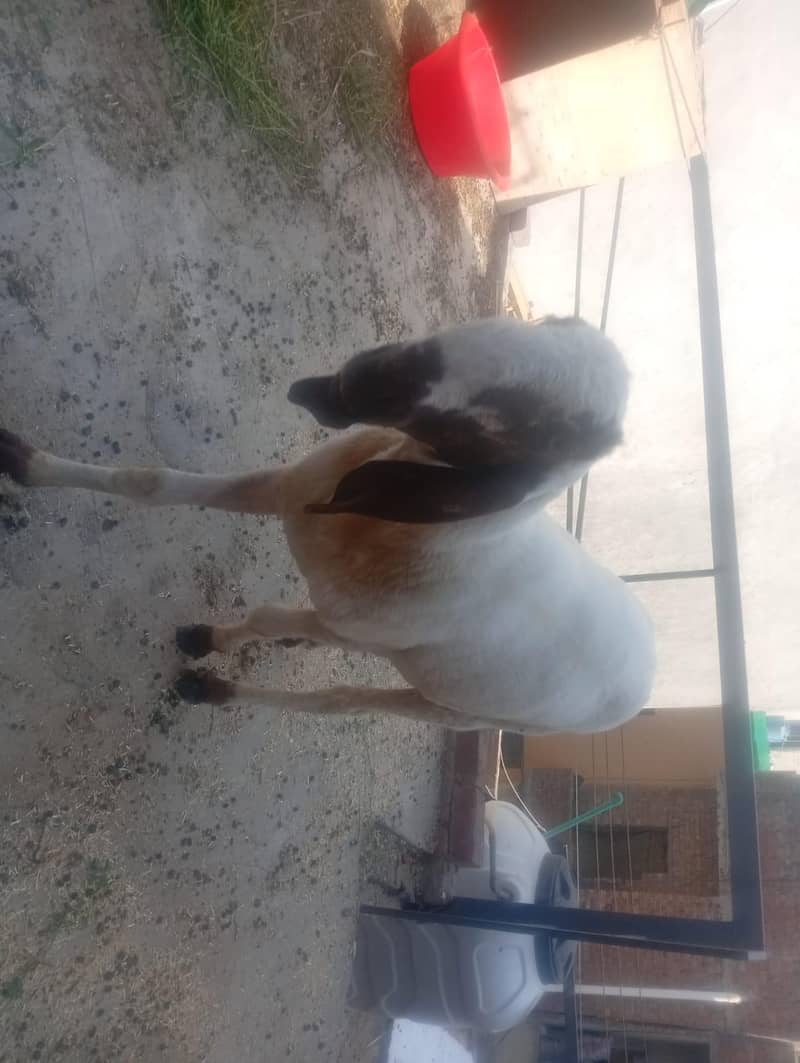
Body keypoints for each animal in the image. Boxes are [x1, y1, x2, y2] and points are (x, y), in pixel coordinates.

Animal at [0, 316, 655, 734]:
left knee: (338, 700)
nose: (365, 376)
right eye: (547, 323)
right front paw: (23, 461)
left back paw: (215, 691)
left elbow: (267, 617)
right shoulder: (291, 490)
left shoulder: (356, 628)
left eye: (529, 429)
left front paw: (210, 647)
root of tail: (649, 661)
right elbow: (152, 483)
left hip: (459, 711)